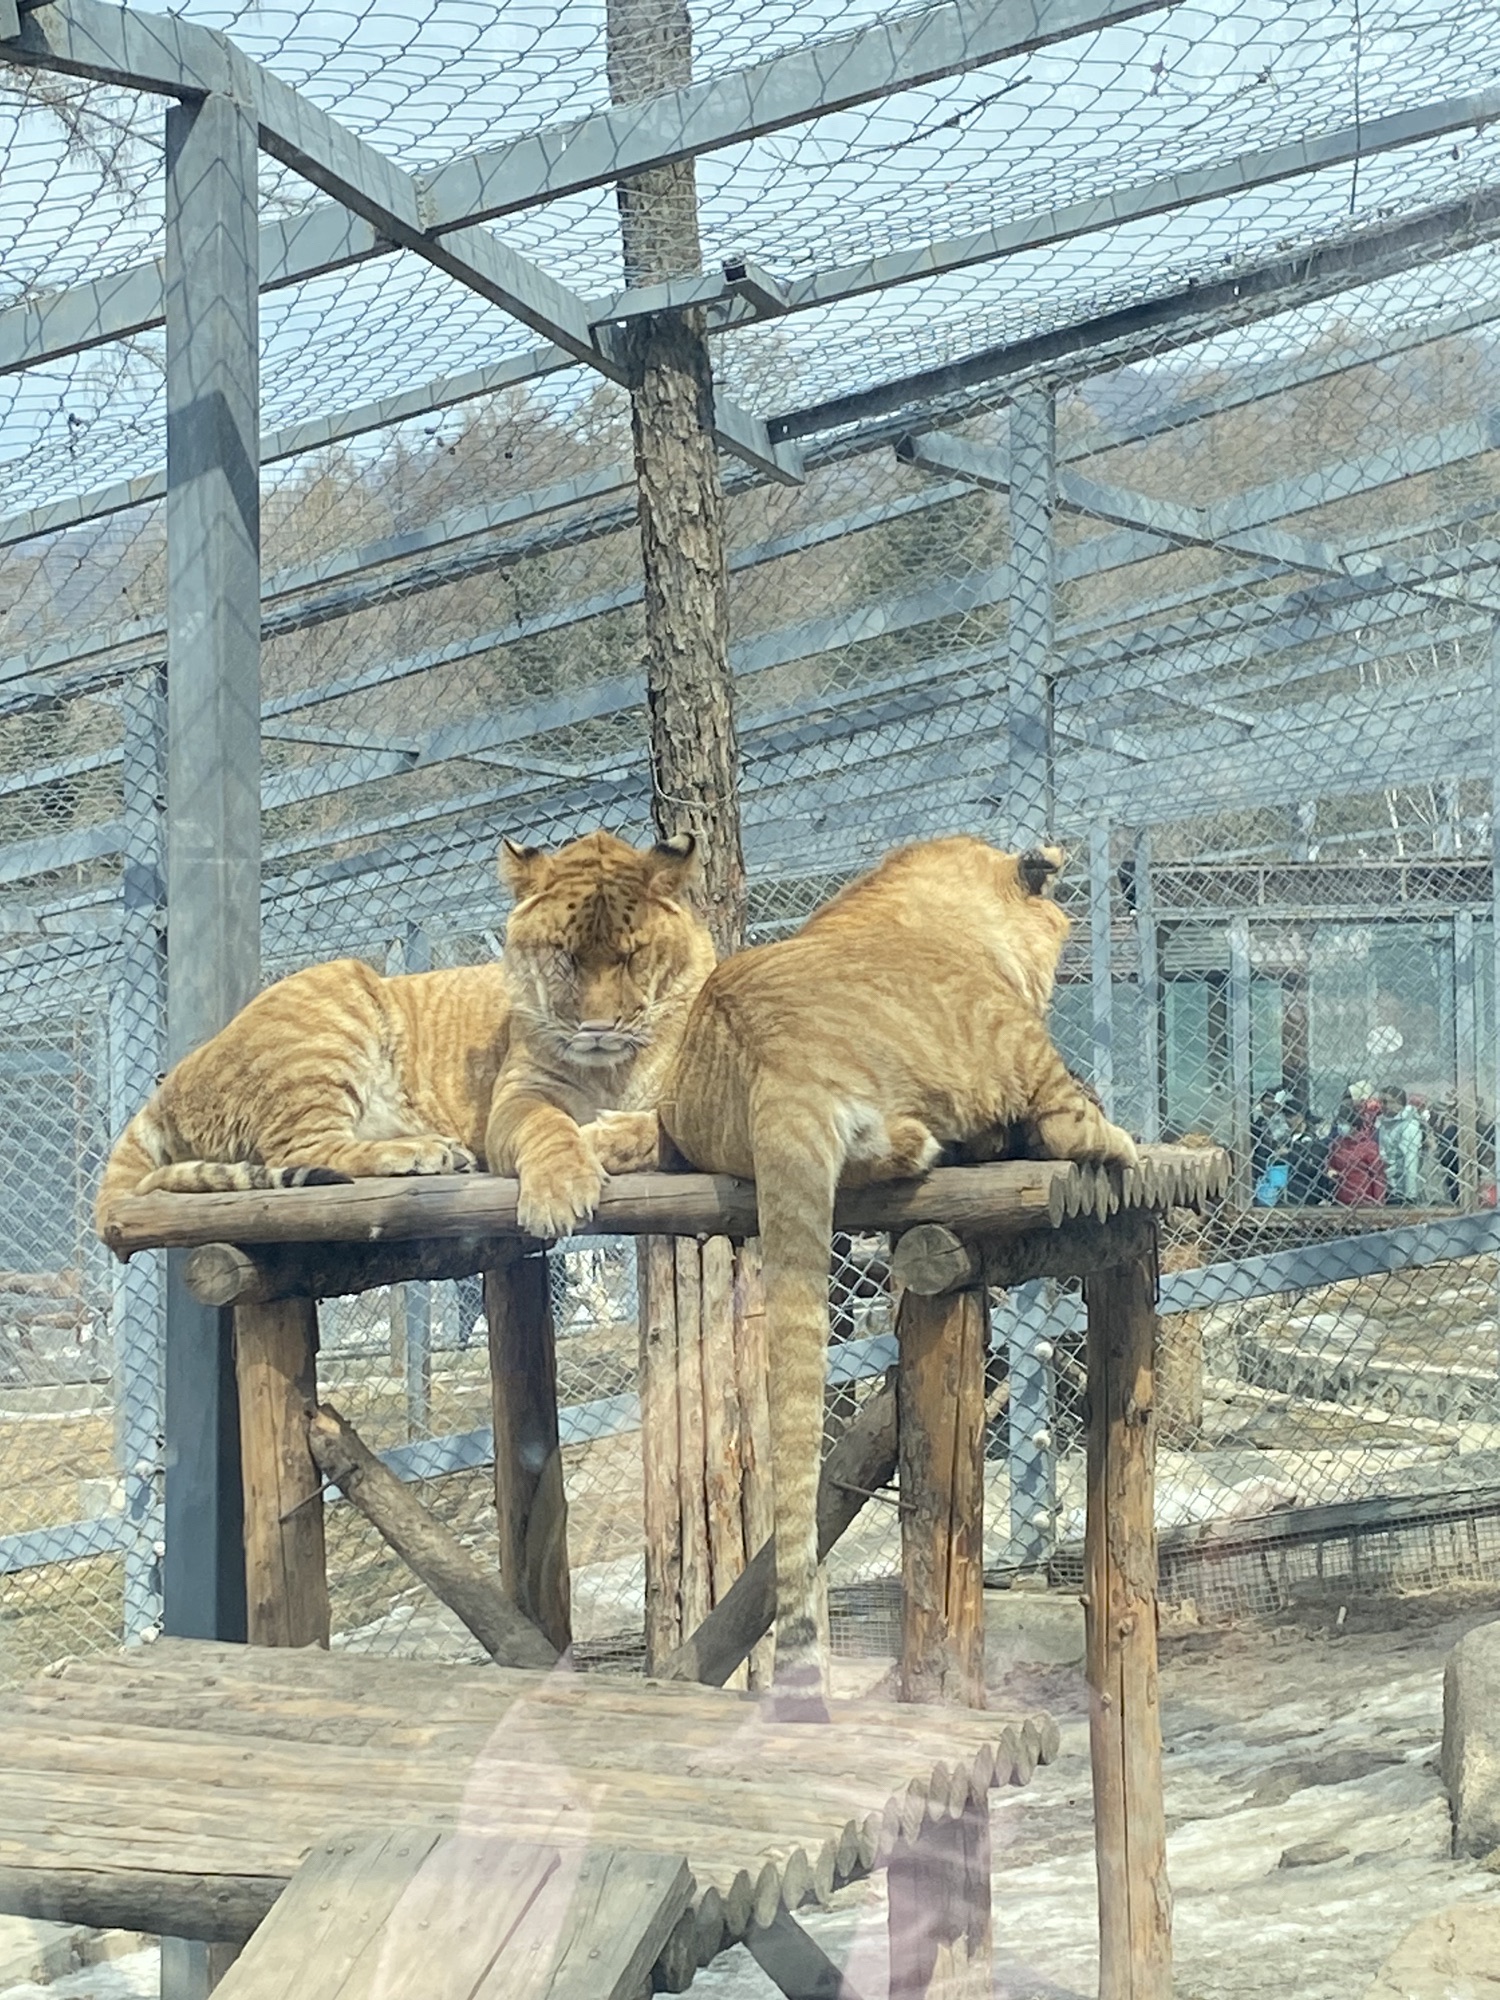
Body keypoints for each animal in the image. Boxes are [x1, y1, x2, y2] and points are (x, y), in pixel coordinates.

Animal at [94, 830, 716, 1246]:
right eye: (563, 955)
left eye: (631, 956)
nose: (595, 1029)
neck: (614, 1066)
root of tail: (165, 1088)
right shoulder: (515, 1098)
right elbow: (547, 1127)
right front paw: (561, 1188)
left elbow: (665, 1128)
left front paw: (604, 1137)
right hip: (334, 1002)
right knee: (307, 1151)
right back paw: (427, 1153)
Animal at [584, 835, 1138, 1716]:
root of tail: (779, 1054)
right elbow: (1059, 1108)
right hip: (995, 1040)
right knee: (1057, 1118)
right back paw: (1108, 1144)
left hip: (704, 1116)